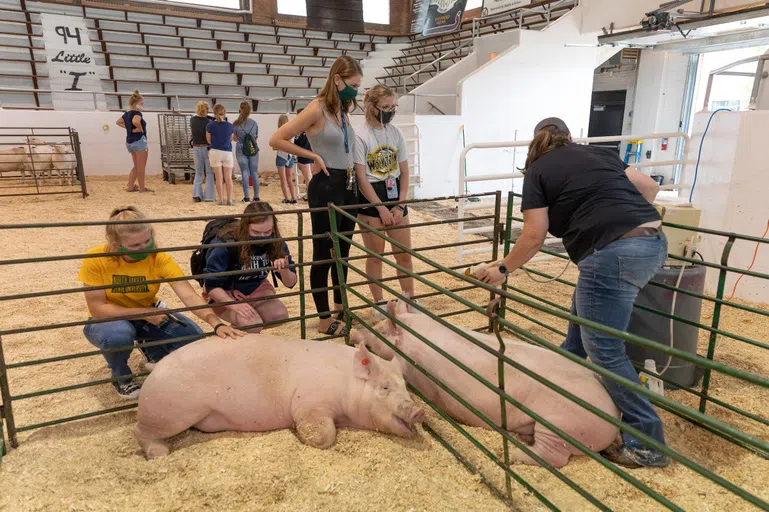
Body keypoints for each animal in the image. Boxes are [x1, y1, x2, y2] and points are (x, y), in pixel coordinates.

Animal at [136, 334, 426, 458]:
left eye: (404, 386)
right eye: (384, 387)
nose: (419, 410)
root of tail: (155, 368)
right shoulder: (309, 403)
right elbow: (323, 434)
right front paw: (301, 436)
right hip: (169, 412)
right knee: (139, 431)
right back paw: (160, 453)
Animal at [352, 300, 620, 468]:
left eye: (380, 330)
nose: (355, 333)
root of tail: (614, 414)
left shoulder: (407, 364)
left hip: (560, 424)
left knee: (554, 457)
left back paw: (512, 455)